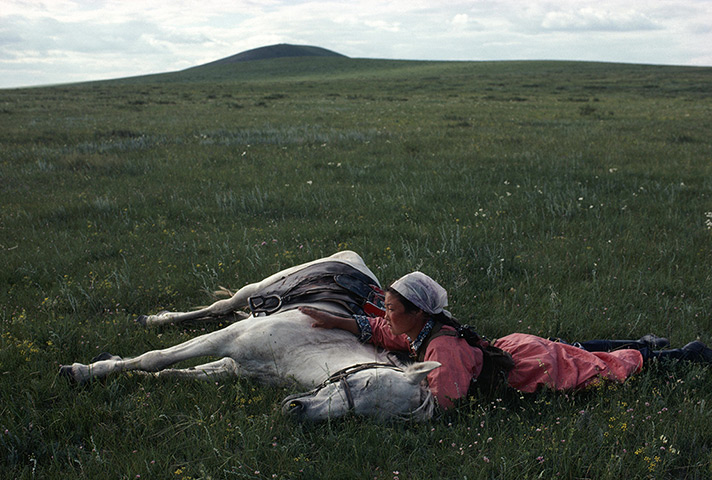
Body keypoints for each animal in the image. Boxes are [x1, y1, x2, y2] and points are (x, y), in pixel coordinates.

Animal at [61, 251, 440, 420]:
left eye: (364, 416)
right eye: (365, 383)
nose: (297, 410)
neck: (308, 347)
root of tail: (354, 261)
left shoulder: (234, 366)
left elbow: (176, 373)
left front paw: (114, 368)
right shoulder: (226, 339)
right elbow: (156, 358)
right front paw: (81, 371)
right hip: (255, 288)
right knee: (220, 306)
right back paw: (155, 319)